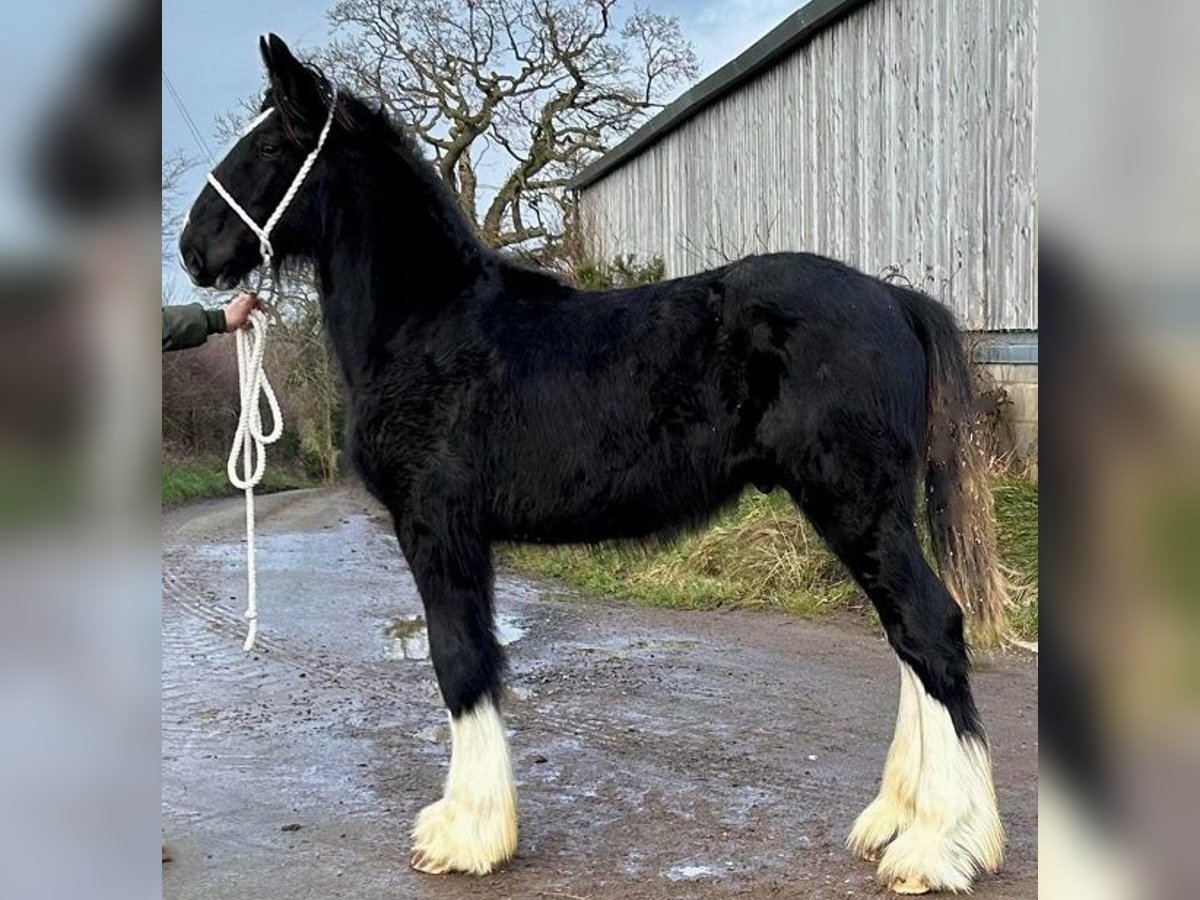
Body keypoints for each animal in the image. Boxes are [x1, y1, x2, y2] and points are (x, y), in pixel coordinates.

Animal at [177, 33, 1003, 897]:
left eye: (271, 145)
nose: (194, 251)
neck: (430, 325)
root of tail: (893, 299)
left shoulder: (437, 526)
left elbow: (461, 660)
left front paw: (467, 835)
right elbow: (474, 657)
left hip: (855, 505)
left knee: (929, 628)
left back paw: (937, 847)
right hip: (869, 512)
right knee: (907, 640)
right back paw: (903, 823)